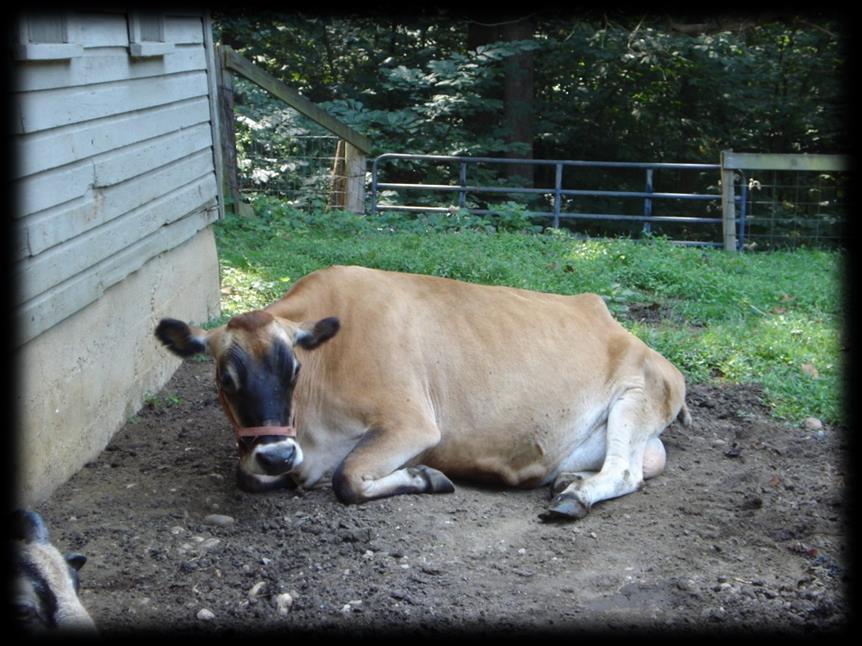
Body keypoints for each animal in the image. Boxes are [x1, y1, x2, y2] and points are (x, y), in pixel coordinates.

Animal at [157, 264, 696, 520]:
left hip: (638, 395)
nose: (277, 454)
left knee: (625, 470)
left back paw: (576, 496)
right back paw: (568, 481)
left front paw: (424, 477)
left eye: (294, 369)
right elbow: (248, 476)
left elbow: (347, 479)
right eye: (225, 380)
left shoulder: (412, 423)